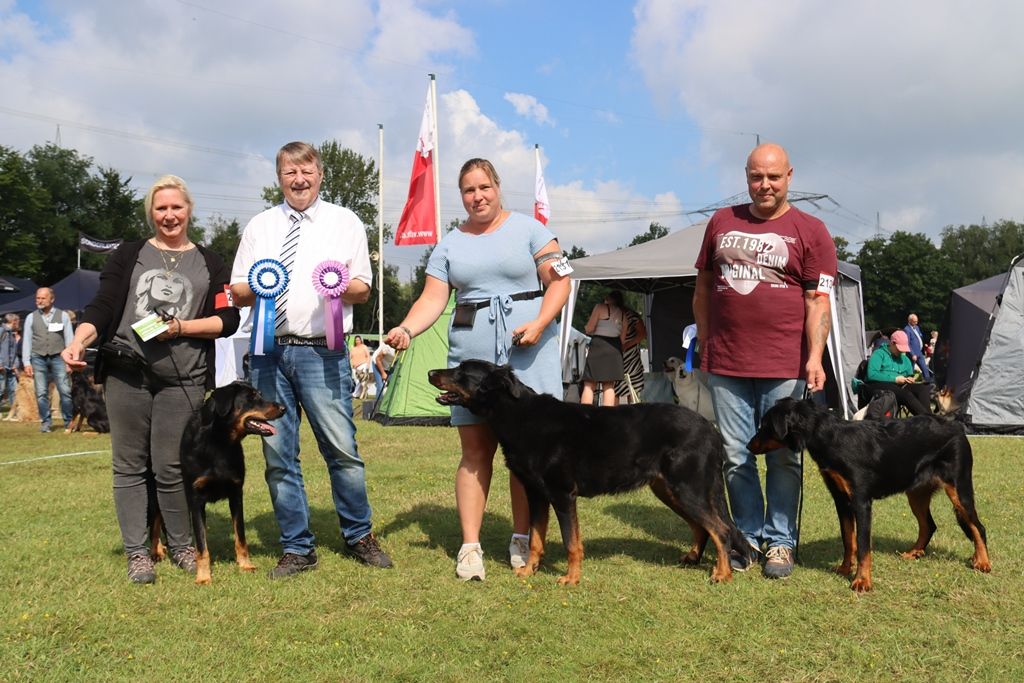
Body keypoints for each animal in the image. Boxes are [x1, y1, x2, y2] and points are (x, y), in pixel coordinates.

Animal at [423, 358, 745, 589]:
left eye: (461, 371)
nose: (430, 372)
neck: (519, 416)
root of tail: (711, 431)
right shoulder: (536, 494)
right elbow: (536, 538)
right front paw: (528, 570)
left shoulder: (563, 495)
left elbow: (571, 542)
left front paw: (571, 578)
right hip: (669, 490)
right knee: (703, 528)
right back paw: (692, 559)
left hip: (688, 488)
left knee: (721, 530)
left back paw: (722, 574)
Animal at [749, 401, 987, 593]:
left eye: (765, 426)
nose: (748, 446)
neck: (831, 438)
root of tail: (957, 427)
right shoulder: (841, 500)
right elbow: (848, 539)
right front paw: (845, 569)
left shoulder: (861, 501)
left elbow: (863, 546)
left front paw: (862, 581)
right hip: (916, 494)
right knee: (929, 525)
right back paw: (915, 553)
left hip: (959, 489)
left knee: (978, 526)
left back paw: (983, 562)